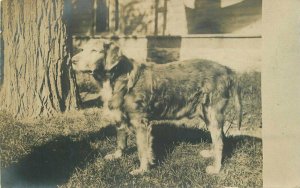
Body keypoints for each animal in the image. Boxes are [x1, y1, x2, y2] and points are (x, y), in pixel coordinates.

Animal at [71, 40, 243, 176]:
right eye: (82, 49)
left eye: (94, 51)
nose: (72, 60)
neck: (118, 76)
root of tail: (227, 69)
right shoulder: (120, 117)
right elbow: (120, 140)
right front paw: (117, 155)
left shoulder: (141, 123)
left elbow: (142, 150)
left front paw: (142, 170)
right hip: (206, 113)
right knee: (219, 137)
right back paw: (210, 153)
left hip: (212, 111)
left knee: (219, 141)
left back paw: (216, 168)